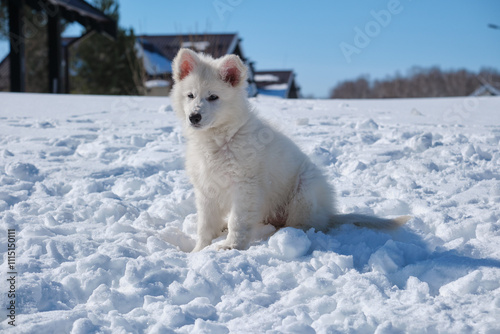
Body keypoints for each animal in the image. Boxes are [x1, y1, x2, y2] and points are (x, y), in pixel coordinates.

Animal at [170, 49, 408, 250]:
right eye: (190, 95)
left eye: (213, 97)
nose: (194, 117)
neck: (221, 138)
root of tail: (328, 214)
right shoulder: (206, 188)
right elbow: (205, 225)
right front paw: (199, 251)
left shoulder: (245, 186)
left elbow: (238, 221)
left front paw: (230, 247)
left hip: (304, 190)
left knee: (302, 225)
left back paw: (279, 237)